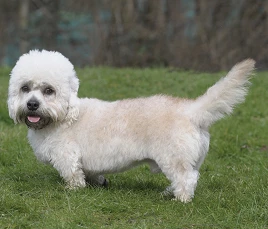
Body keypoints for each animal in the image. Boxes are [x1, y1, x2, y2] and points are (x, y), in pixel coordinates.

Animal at [6, 49, 255, 202]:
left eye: (49, 90)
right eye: (25, 88)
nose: (32, 104)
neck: (64, 115)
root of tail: (191, 110)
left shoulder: (67, 157)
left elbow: (73, 176)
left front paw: (72, 189)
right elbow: (91, 174)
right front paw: (98, 183)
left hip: (174, 159)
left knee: (187, 179)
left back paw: (180, 199)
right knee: (188, 176)